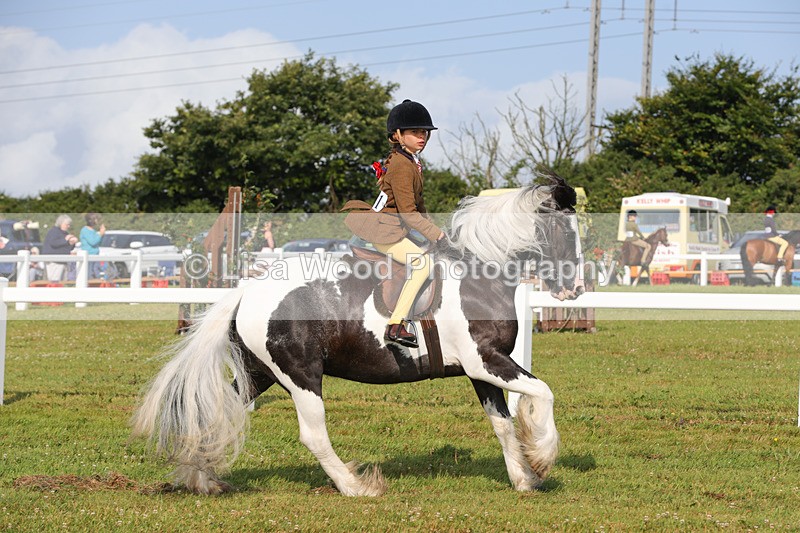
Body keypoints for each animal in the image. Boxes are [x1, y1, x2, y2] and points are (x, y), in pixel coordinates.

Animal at [132, 172, 584, 496]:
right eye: (566, 232)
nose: (575, 290)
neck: (479, 275)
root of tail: (247, 290)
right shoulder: (486, 361)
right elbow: (543, 391)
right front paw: (542, 457)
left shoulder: (481, 370)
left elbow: (503, 424)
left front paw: (523, 478)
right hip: (300, 376)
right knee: (313, 434)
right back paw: (355, 486)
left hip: (258, 373)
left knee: (218, 412)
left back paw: (201, 478)